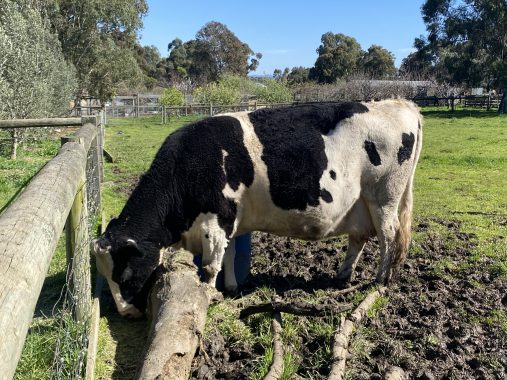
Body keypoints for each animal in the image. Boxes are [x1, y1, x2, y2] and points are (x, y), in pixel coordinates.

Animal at [93, 98, 422, 318]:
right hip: (360, 204)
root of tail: (400, 104)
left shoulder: (216, 221)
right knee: (358, 238)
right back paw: (342, 276)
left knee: (388, 236)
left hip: (384, 197)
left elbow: (211, 265)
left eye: (124, 276)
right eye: (106, 278)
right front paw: (231, 287)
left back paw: (379, 281)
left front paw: (209, 295)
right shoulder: (232, 220)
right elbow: (230, 255)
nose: (126, 313)